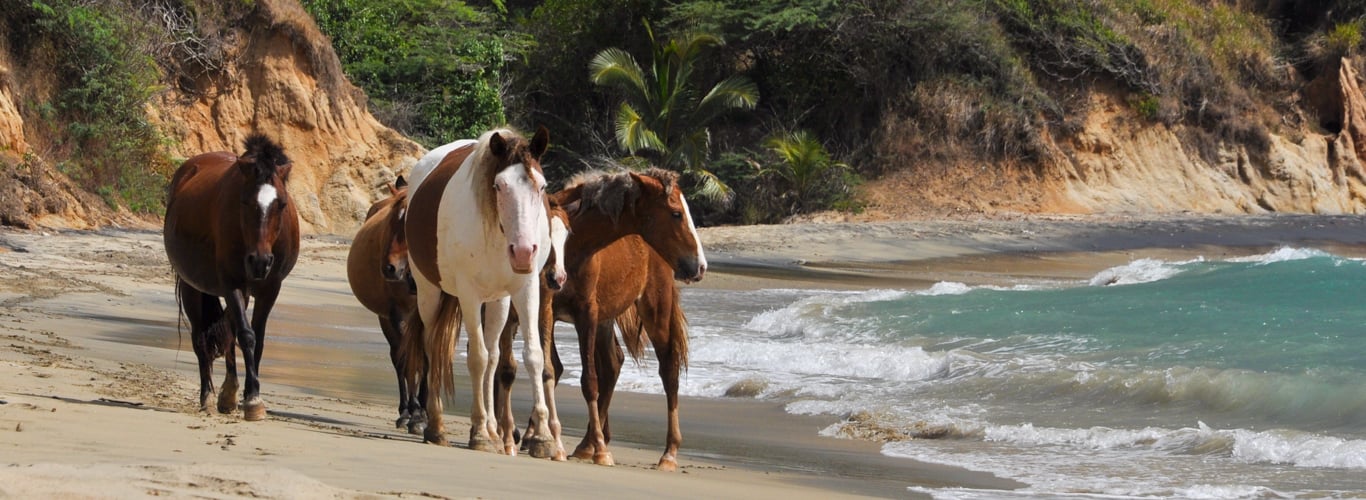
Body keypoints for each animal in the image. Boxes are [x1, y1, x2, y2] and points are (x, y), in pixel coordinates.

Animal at [163, 134, 299, 421]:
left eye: (281, 204)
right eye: (245, 201)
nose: (260, 261)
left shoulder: (270, 289)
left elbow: (256, 339)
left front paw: (249, 395)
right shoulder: (232, 284)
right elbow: (246, 335)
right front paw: (252, 400)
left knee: (227, 332)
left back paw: (228, 394)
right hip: (193, 288)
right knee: (200, 338)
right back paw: (208, 396)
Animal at [346, 176, 427, 434]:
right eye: (391, 221)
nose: (390, 268)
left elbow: (426, 361)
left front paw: (424, 413)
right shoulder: (398, 316)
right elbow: (409, 361)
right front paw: (415, 413)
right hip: (385, 319)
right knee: (398, 359)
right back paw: (404, 411)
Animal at [400, 126, 561, 458]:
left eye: (541, 186)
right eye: (498, 186)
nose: (523, 252)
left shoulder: (526, 289)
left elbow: (532, 356)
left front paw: (541, 437)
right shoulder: (469, 294)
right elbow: (476, 357)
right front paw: (479, 432)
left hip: (498, 300)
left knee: (494, 355)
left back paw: (494, 430)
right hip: (429, 292)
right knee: (433, 347)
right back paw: (437, 426)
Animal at [497, 167, 705, 470]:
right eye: (676, 213)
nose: (699, 266)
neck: (577, 246)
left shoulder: (587, 311)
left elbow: (588, 380)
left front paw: (594, 449)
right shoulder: (547, 308)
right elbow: (548, 367)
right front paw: (534, 436)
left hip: (655, 307)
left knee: (668, 369)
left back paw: (666, 453)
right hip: (608, 318)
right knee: (613, 363)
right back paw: (586, 444)